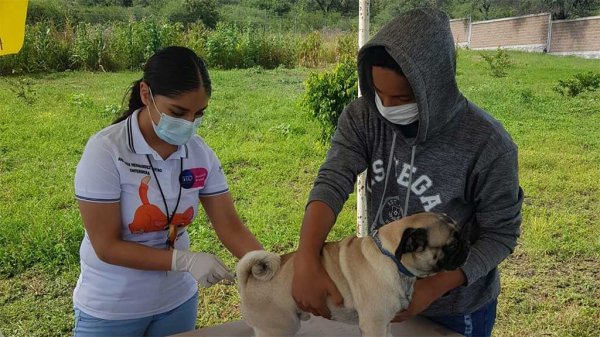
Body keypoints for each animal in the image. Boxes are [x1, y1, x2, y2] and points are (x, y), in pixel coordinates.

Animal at [237, 211, 472, 334]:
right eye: (452, 245)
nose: (467, 244)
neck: (391, 257)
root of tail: (248, 280)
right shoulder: (373, 324)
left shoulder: (384, 322)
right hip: (279, 328)